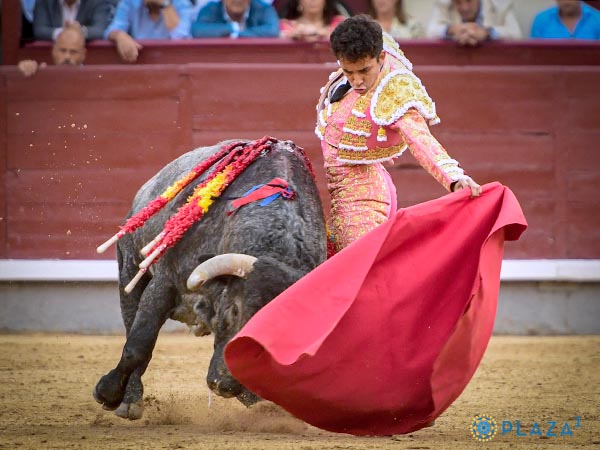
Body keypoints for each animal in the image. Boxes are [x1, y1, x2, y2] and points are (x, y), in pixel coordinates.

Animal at [93, 140, 326, 418]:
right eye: (235, 310)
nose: (223, 385)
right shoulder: (164, 283)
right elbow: (139, 344)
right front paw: (107, 393)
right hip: (130, 269)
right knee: (131, 325)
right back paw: (130, 400)